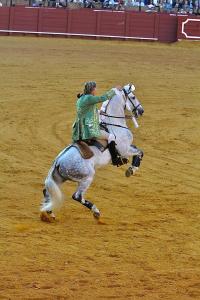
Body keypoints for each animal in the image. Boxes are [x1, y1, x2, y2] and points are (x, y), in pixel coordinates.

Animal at [40, 84, 144, 223]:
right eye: (133, 97)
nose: (141, 111)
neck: (114, 124)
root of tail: (58, 162)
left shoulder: (127, 148)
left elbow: (138, 150)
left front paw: (130, 167)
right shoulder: (125, 149)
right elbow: (140, 152)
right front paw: (131, 169)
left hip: (59, 179)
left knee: (47, 192)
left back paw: (49, 214)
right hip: (87, 177)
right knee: (77, 196)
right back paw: (96, 212)